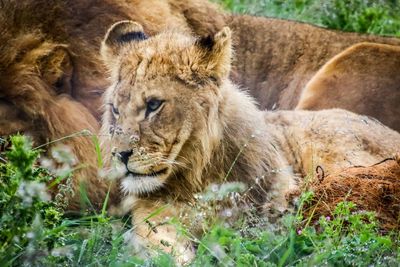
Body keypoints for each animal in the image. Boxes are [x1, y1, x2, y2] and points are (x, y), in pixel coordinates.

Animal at [99, 21, 400, 262]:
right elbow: (163, 249)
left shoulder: (274, 213)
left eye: (153, 105)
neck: (196, 176)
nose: (120, 155)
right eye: (115, 109)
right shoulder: (154, 220)